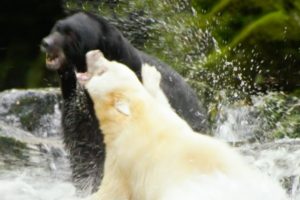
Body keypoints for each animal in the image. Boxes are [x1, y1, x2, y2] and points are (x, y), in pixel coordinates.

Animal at [77, 50, 288, 200]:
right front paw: (151, 73)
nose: (95, 52)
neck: (138, 120)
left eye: (104, 70)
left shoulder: (124, 158)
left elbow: (112, 191)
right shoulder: (170, 118)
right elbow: (164, 102)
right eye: (111, 62)